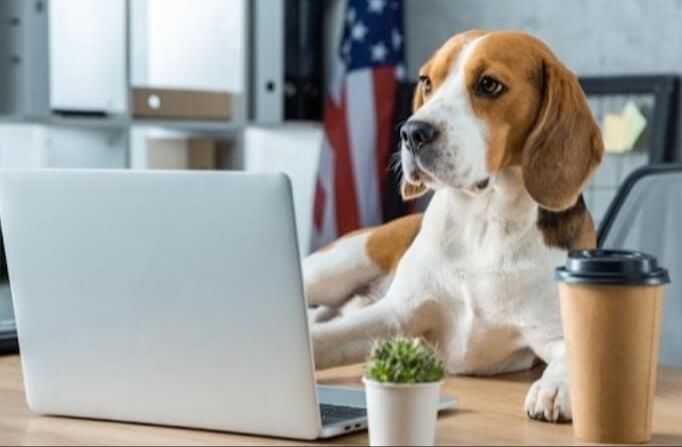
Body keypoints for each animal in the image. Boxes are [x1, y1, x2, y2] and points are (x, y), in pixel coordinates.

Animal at [302, 28, 600, 424]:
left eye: (489, 85)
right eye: (427, 82)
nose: (412, 132)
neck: (485, 223)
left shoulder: (555, 330)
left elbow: (572, 358)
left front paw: (556, 387)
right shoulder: (397, 314)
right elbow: (322, 340)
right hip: (336, 265)